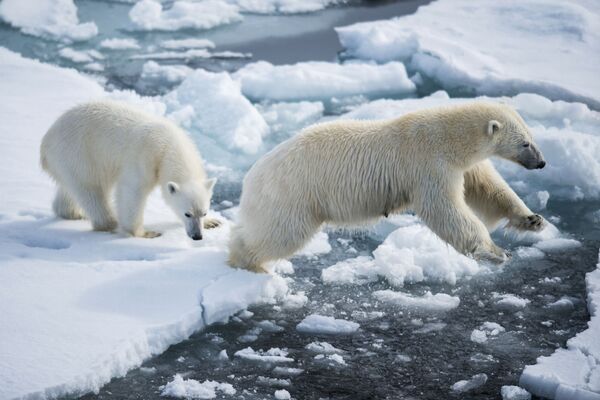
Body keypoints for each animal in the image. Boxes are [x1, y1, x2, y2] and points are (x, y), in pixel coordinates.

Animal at [42, 101, 220, 239]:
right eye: (187, 214)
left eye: (203, 213)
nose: (197, 236)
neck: (169, 146)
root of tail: (46, 142)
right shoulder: (144, 158)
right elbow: (131, 192)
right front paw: (144, 233)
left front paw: (212, 222)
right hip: (79, 153)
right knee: (92, 190)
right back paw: (109, 223)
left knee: (70, 189)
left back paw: (72, 212)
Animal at [231, 101, 548, 274]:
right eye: (525, 143)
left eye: (532, 137)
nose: (542, 162)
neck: (449, 138)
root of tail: (251, 175)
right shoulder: (428, 164)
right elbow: (445, 209)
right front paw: (495, 251)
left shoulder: (464, 165)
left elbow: (489, 190)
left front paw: (533, 220)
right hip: (293, 193)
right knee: (282, 232)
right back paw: (248, 262)